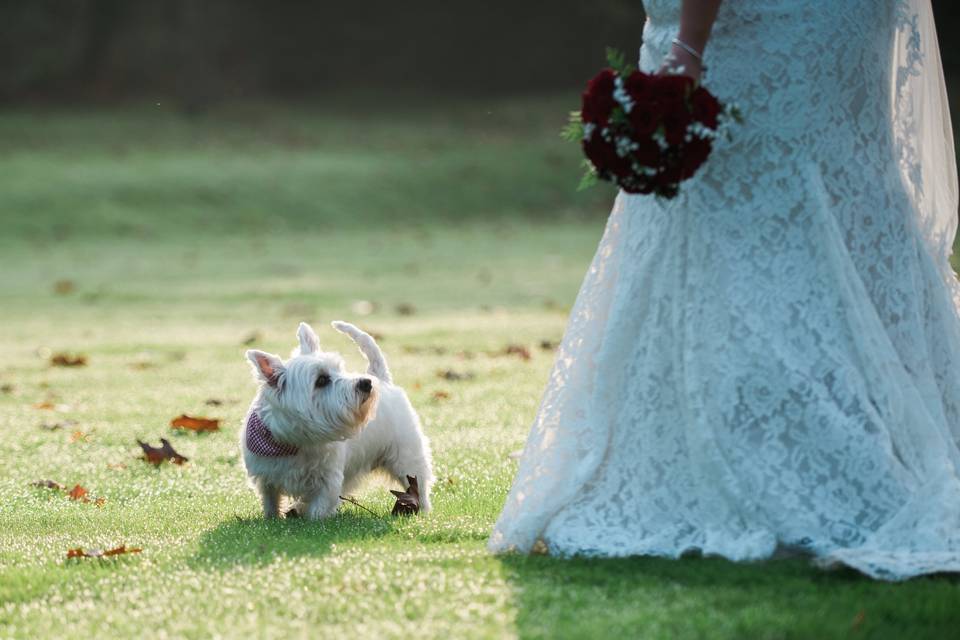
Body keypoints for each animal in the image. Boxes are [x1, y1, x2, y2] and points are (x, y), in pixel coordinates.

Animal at [240, 322, 436, 516]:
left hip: (407, 457)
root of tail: (382, 379)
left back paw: (422, 510)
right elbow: (271, 503)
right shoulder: (267, 478)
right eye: (321, 380)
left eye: (339, 369)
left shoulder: (328, 480)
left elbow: (317, 511)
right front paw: (272, 518)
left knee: (419, 485)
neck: (294, 443)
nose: (366, 383)